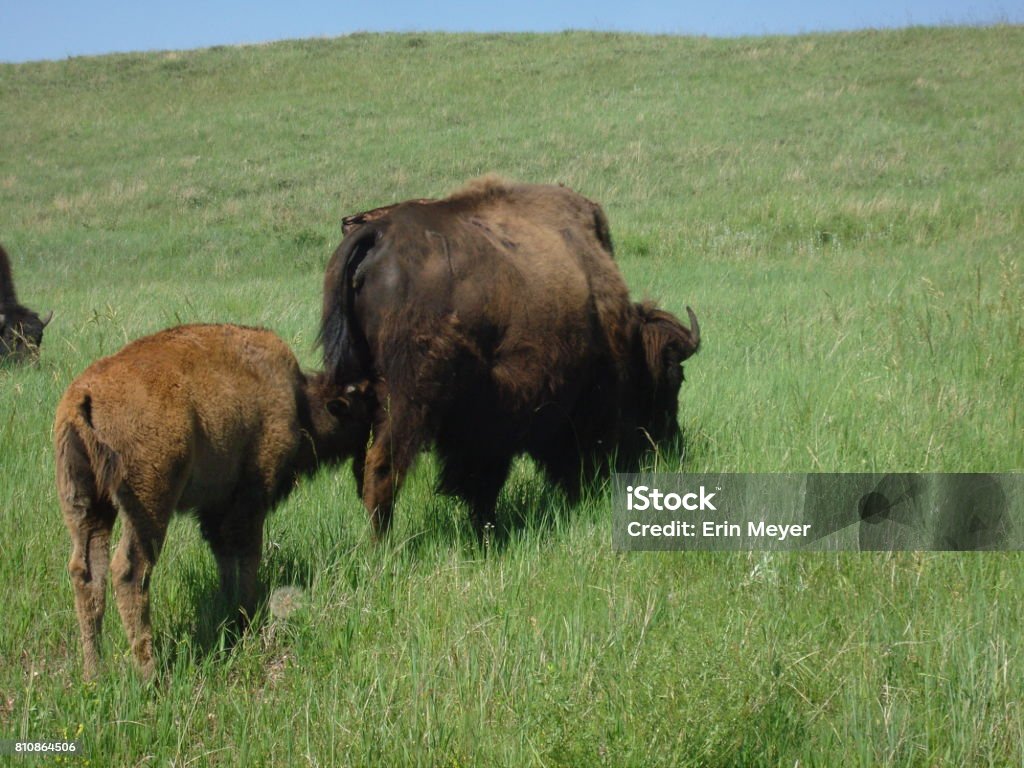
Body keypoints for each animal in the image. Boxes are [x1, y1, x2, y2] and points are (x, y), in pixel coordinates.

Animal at [54, 325, 370, 679]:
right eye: (359, 405)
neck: (298, 401)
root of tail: (85, 394)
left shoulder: (215, 509)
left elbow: (225, 559)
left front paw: (228, 610)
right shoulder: (250, 497)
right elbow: (247, 554)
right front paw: (245, 614)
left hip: (87, 507)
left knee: (87, 573)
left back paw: (93, 673)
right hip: (149, 503)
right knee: (130, 570)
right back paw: (149, 672)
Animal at [321, 177, 704, 536]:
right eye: (672, 378)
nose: (670, 445)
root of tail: (377, 235)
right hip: (406, 400)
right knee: (383, 468)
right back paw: (385, 546)